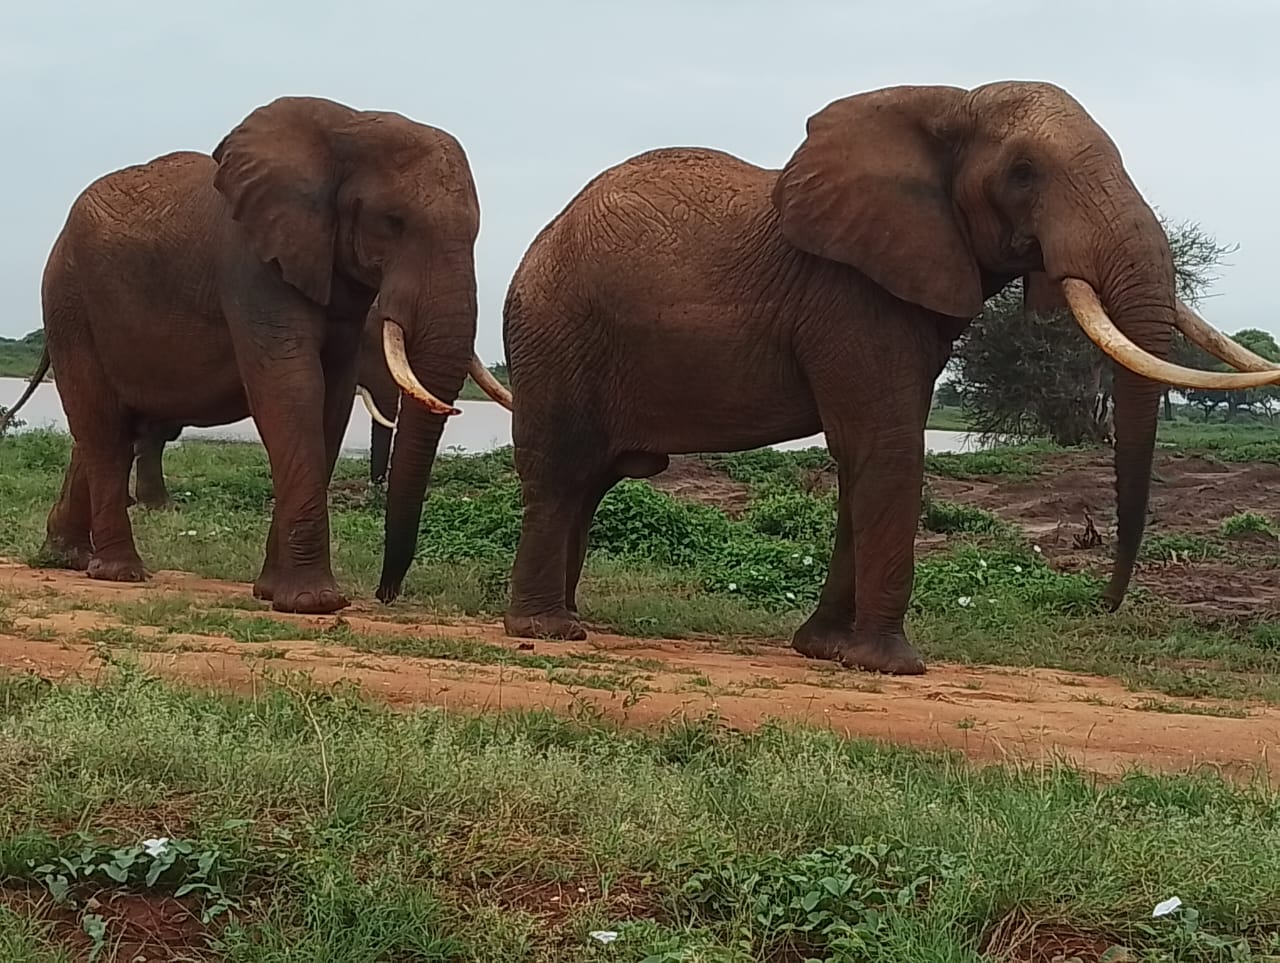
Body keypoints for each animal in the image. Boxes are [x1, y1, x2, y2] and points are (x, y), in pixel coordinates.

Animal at [21, 95, 513, 614]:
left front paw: (273, 592)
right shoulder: (250, 265)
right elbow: (292, 387)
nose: (384, 594)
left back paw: (67, 558)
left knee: (110, 429)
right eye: (392, 222)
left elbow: (331, 399)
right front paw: (314, 602)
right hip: (69, 300)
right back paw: (120, 572)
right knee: (100, 423)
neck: (348, 127)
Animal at [501, 80, 1280, 674]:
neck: (949, 104)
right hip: (554, 333)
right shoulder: (851, 295)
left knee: (591, 482)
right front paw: (890, 665)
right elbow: (886, 446)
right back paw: (548, 631)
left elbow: (859, 456)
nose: (1105, 606)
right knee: (564, 471)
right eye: (1024, 172)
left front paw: (823, 650)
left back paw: (568, 615)